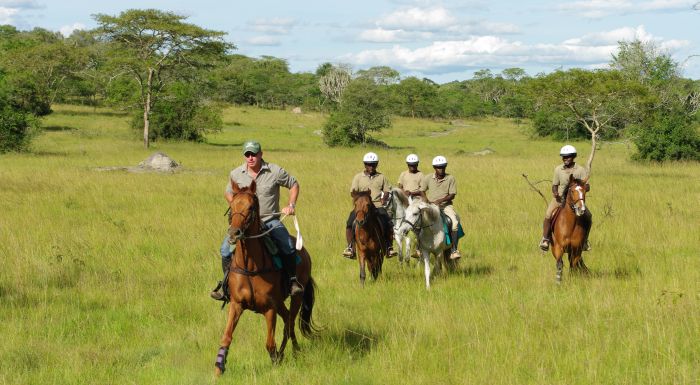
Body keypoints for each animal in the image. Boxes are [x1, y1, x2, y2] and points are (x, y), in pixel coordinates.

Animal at [213, 181, 318, 376]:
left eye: (250, 207)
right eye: (231, 206)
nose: (233, 233)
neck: (250, 266)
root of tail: (304, 251)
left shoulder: (269, 308)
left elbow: (269, 343)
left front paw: (276, 361)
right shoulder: (236, 304)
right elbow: (226, 337)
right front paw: (218, 369)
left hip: (296, 297)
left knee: (290, 323)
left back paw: (294, 352)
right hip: (280, 303)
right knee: (287, 319)